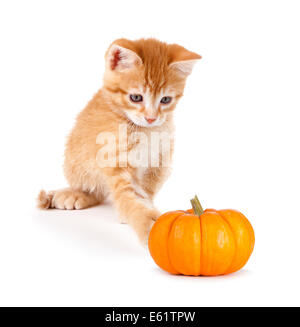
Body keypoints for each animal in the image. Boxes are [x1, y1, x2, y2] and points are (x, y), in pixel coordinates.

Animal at [38, 38, 202, 245]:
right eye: (136, 97)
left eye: (165, 100)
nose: (151, 118)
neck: (147, 130)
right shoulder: (115, 161)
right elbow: (129, 195)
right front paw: (147, 223)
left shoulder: (159, 161)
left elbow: (146, 191)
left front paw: (147, 209)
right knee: (95, 189)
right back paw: (75, 194)